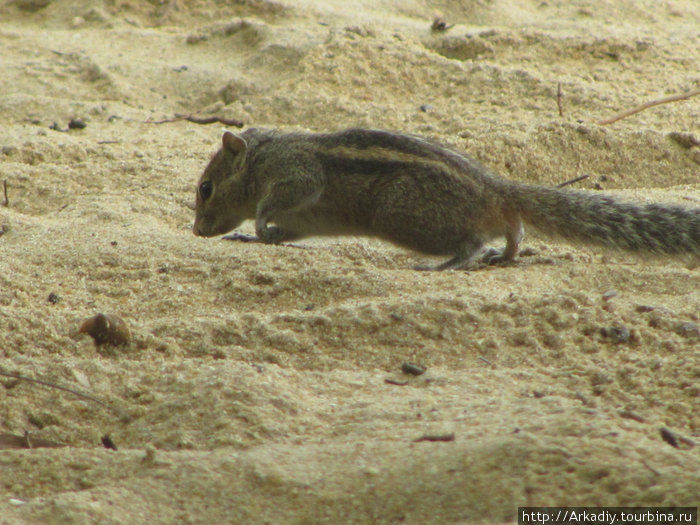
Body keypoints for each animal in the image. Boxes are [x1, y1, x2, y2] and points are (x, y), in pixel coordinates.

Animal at [194, 125, 700, 268]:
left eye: (205, 188)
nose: (196, 230)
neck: (262, 155)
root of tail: (496, 187)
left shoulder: (297, 171)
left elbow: (282, 201)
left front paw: (256, 222)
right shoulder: (302, 222)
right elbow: (283, 234)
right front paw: (253, 237)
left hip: (402, 218)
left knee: (470, 242)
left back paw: (447, 264)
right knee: (512, 231)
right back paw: (504, 256)